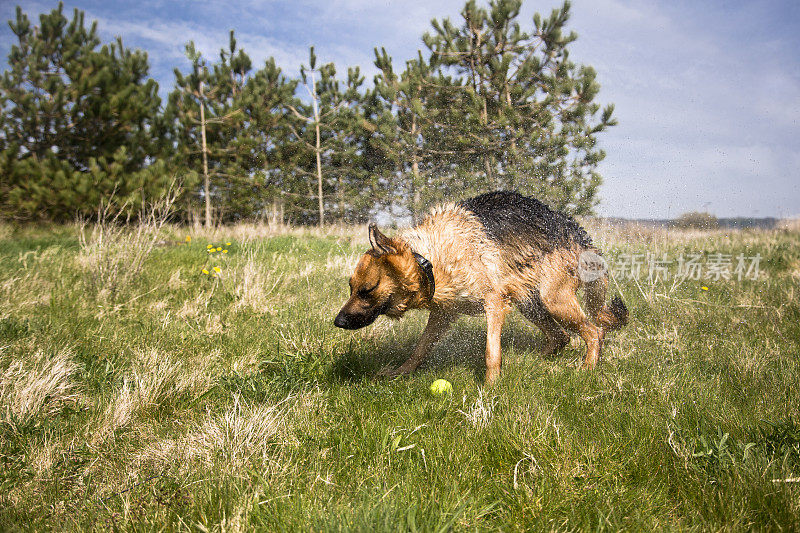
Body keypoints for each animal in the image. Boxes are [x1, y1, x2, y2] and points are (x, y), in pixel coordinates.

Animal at [334, 191, 628, 382]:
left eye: (367, 290)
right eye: (351, 288)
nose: (337, 322)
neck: (429, 259)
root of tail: (579, 234)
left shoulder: (494, 304)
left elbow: (491, 352)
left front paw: (490, 387)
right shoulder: (443, 314)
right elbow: (419, 348)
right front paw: (400, 372)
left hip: (553, 300)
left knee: (594, 332)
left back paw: (587, 369)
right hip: (529, 303)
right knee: (561, 337)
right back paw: (533, 361)